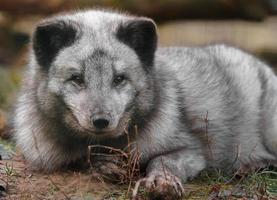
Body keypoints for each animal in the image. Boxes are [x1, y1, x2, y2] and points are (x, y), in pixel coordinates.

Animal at [14, 9, 276, 197]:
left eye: (119, 78)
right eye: (76, 78)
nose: (101, 121)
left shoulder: (192, 150)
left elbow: (162, 160)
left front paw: (162, 181)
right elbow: (82, 158)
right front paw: (106, 165)